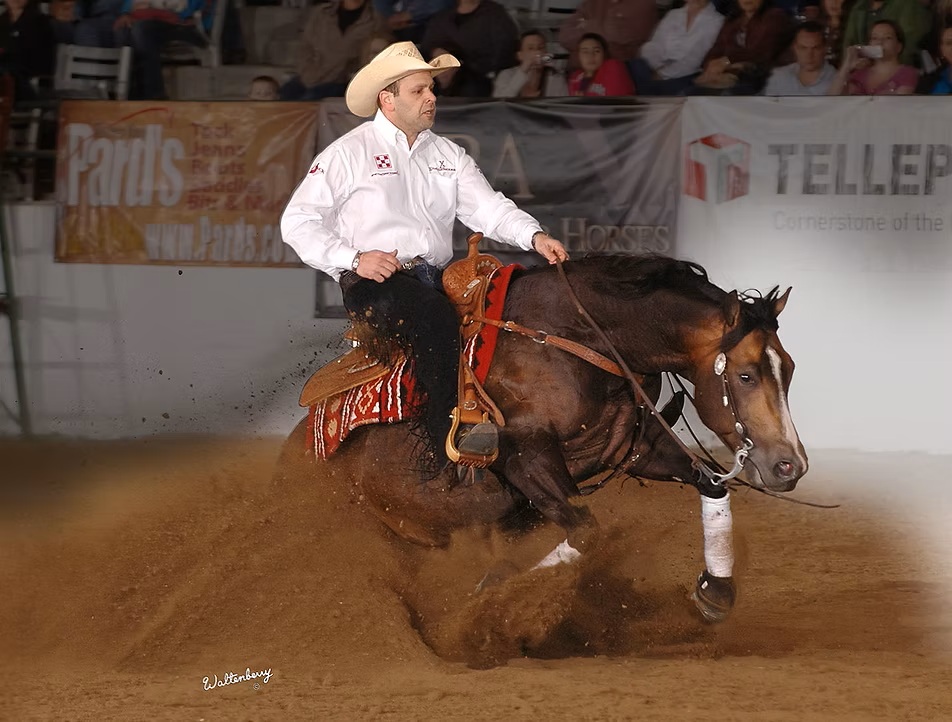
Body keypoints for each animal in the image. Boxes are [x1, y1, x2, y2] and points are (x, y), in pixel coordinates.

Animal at [275, 254, 808, 623]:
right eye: (745, 375)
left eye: (789, 368)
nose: (790, 465)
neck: (578, 341)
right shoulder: (525, 456)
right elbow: (587, 531)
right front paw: (491, 595)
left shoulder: (634, 450)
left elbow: (712, 485)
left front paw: (714, 592)